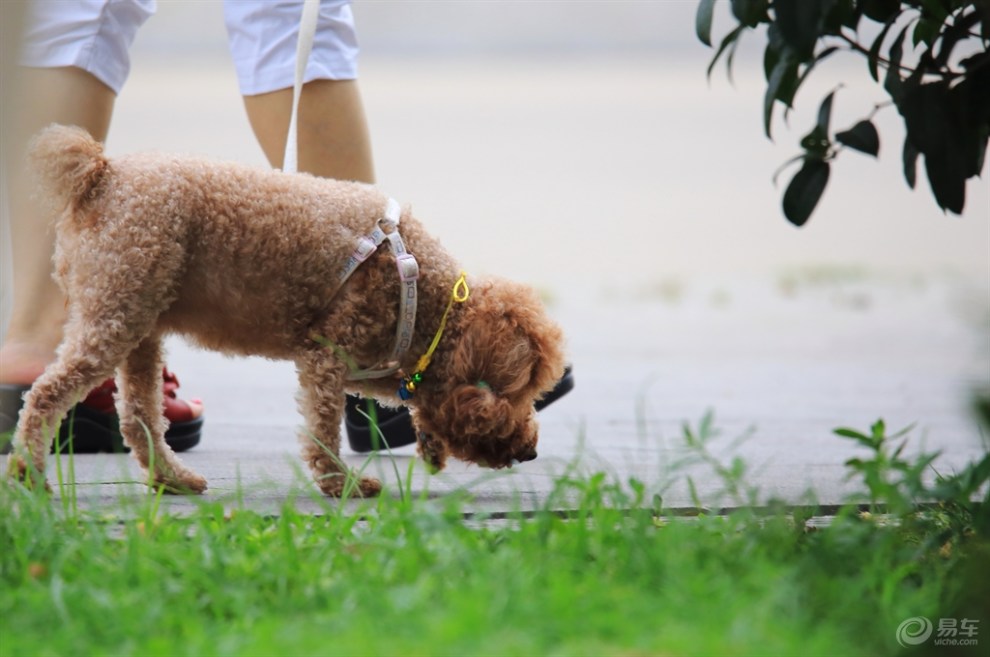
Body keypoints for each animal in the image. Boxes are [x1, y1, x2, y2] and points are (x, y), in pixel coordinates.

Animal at [7, 124, 568, 498]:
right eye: (519, 393)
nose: (531, 451)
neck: (423, 303)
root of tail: (102, 174)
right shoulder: (328, 353)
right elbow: (322, 427)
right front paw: (341, 485)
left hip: (139, 320)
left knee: (140, 417)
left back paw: (171, 479)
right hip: (117, 310)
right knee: (47, 393)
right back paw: (29, 473)